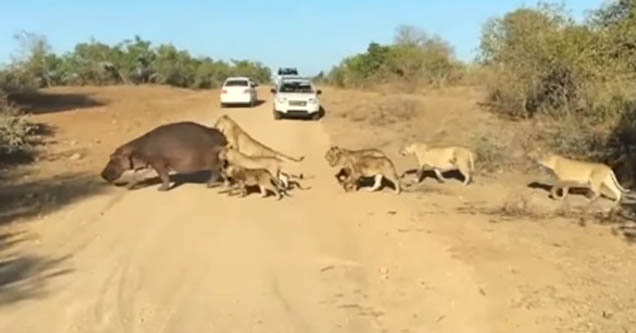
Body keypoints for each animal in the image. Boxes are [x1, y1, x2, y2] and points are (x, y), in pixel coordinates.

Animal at [99, 121, 229, 189]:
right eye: (110, 156)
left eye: (113, 158)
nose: (102, 174)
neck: (136, 149)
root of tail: (222, 136)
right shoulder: (142, 164)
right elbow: (135, 176)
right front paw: (129, 186)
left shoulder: (158, 163)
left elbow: (163, 176)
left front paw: (161, 189)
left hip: (212, 161)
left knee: (216, 172)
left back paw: (208, 184)